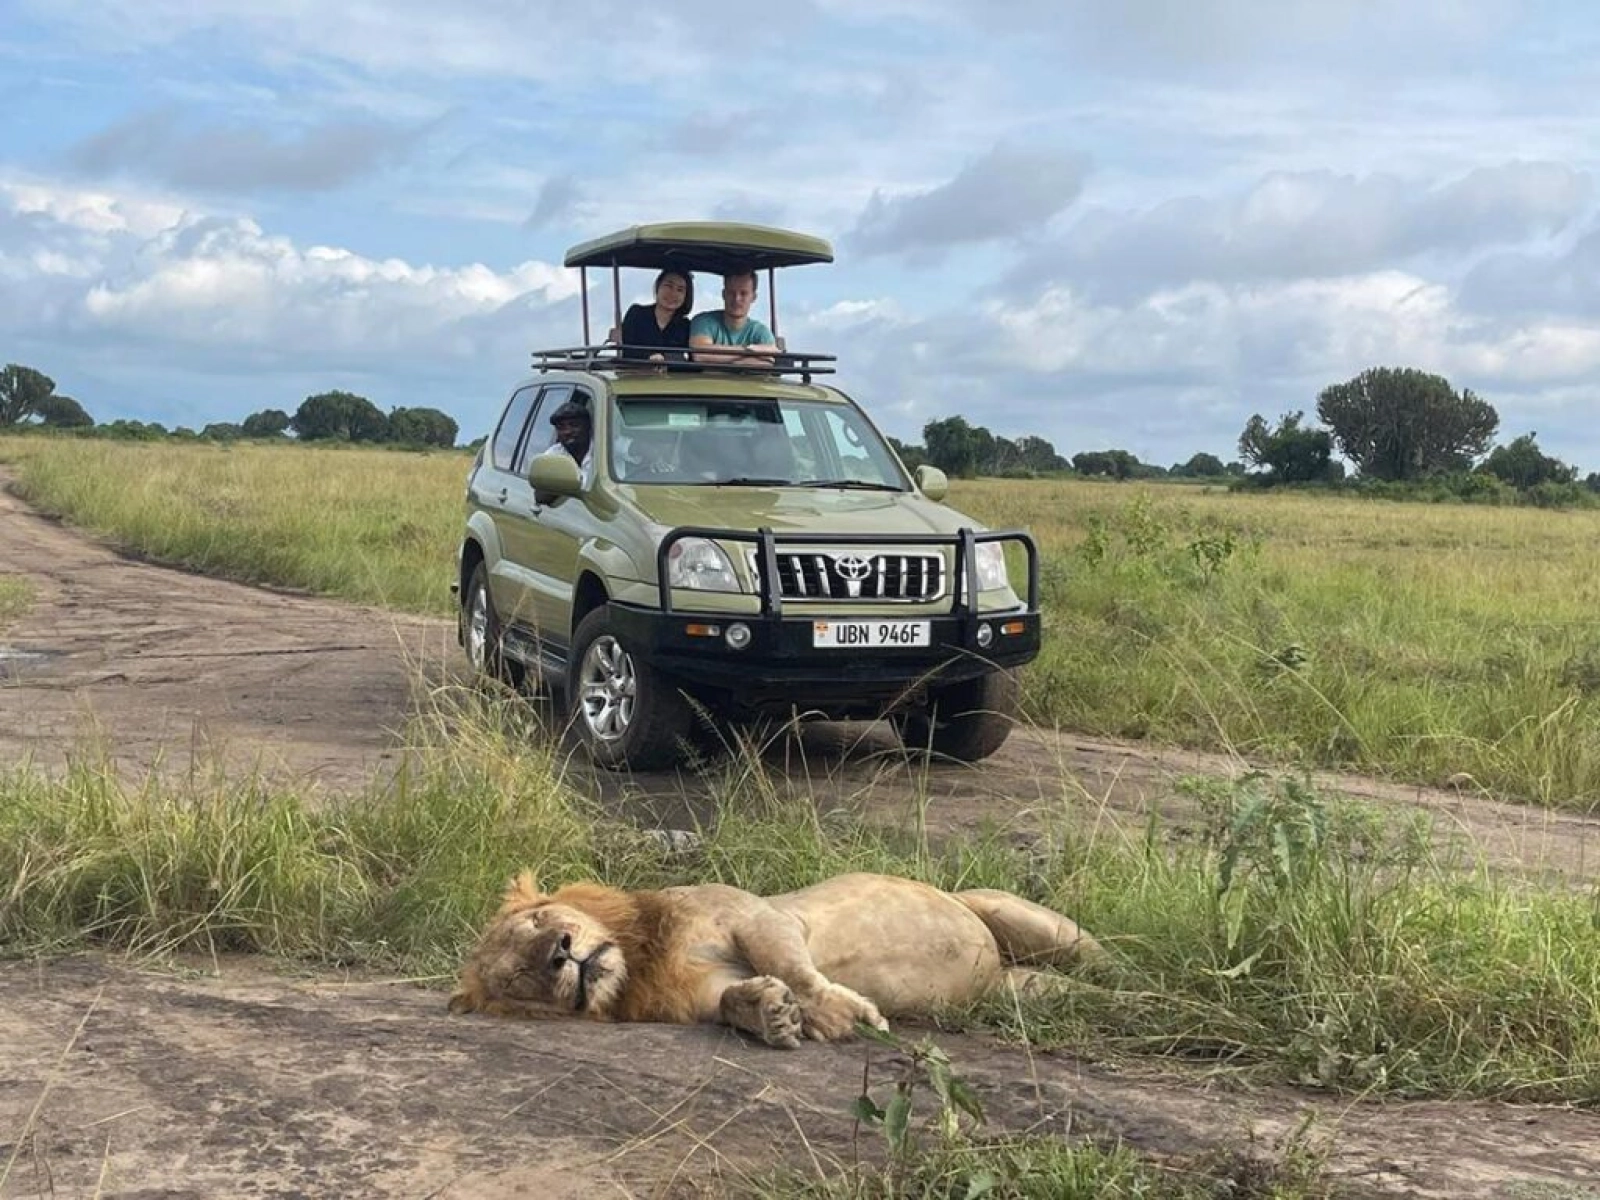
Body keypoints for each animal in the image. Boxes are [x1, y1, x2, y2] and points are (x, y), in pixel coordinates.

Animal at [448, 871, 1100, 1048]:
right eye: (519, 976)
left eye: (538, 923)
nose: (559, 953)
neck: (641, 960)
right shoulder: (700, 995)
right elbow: (733, 1001)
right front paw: (771, 1014)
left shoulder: (756, 916)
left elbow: (794, 967)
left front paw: (841, 1015)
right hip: (1018, 990)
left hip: (1016, 917)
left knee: (1100, 957)